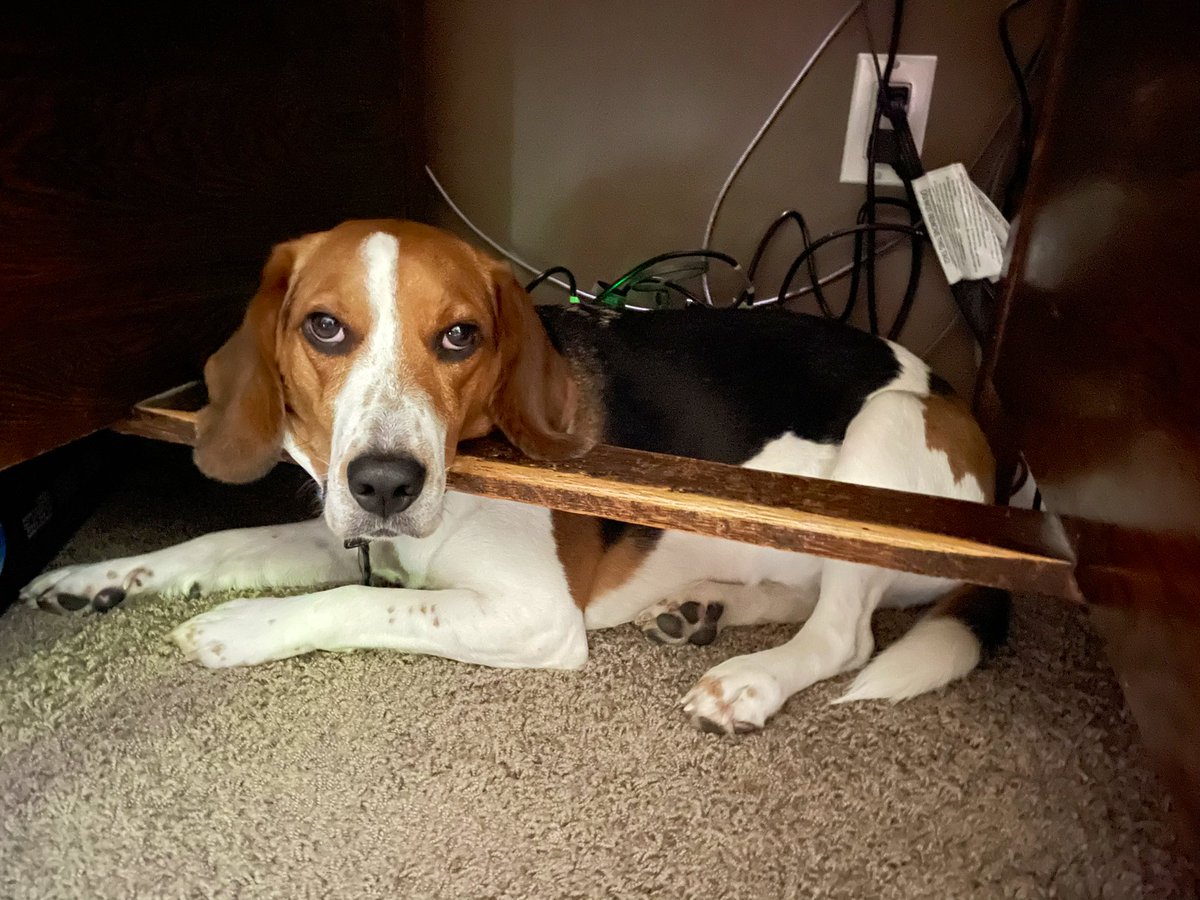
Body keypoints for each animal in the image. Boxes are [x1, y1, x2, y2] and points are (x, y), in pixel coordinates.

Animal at [23, 222, 1008, 734]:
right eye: (324, 328)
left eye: (461, 335)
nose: (386, 484)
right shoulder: (349, 537)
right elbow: (217, 543)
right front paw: (94, 579)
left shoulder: (534, 616)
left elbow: (352, 603)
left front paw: (240, 628)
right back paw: (698, 611)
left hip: (887, 431)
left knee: (846, 636)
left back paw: (749, 679)